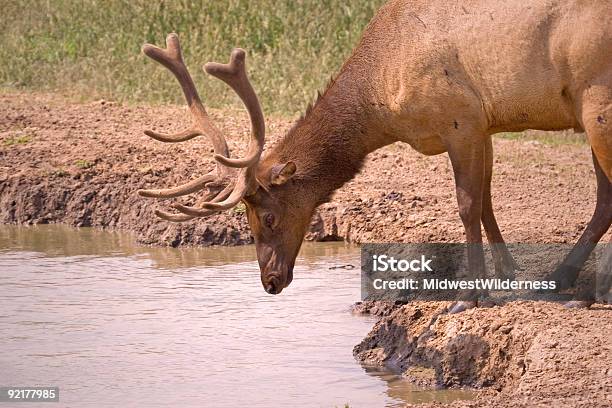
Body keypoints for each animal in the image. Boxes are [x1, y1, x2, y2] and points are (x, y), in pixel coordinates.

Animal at [139, 0, 612, 312]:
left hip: (597, 100)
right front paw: (507, 273)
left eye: (268, 217)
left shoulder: (459, 117)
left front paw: (468, 296)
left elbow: (467, 205)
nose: (270, 281)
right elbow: (487, 204)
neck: (380, 99)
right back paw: (562, 278)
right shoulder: (483, 124)